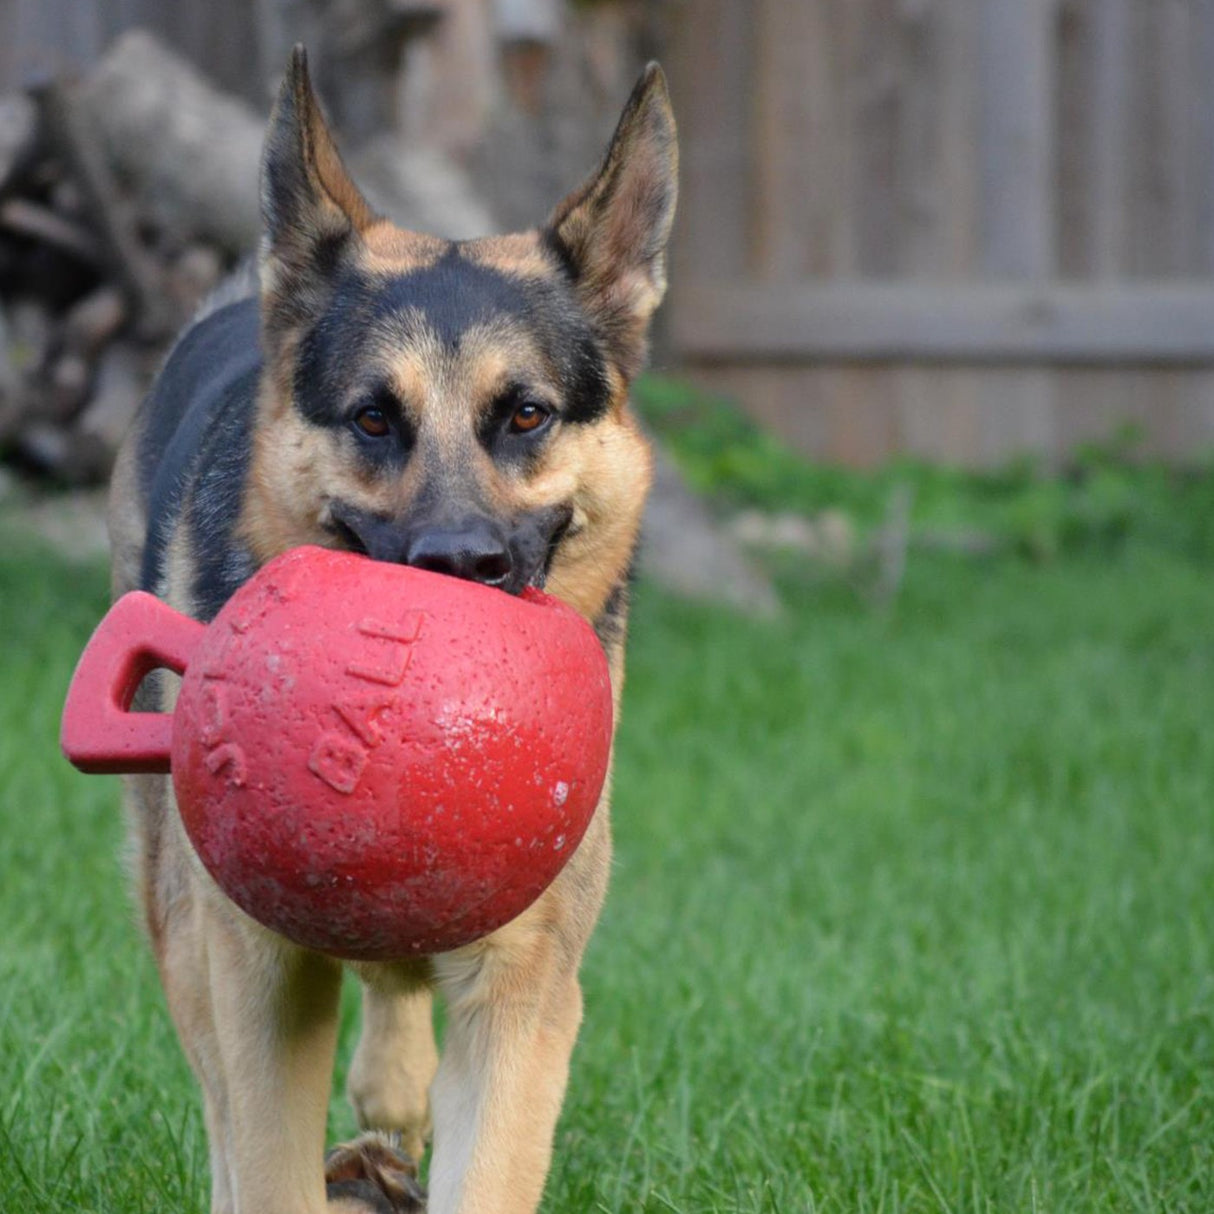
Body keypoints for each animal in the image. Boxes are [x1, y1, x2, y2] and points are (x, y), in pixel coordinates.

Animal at [104, 47, 674, 1214]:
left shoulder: (521, 996)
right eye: (374, 417)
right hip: (177, 915)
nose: (458, 569)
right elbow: (265, 1159)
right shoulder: (258, 975)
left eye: (526, 415)